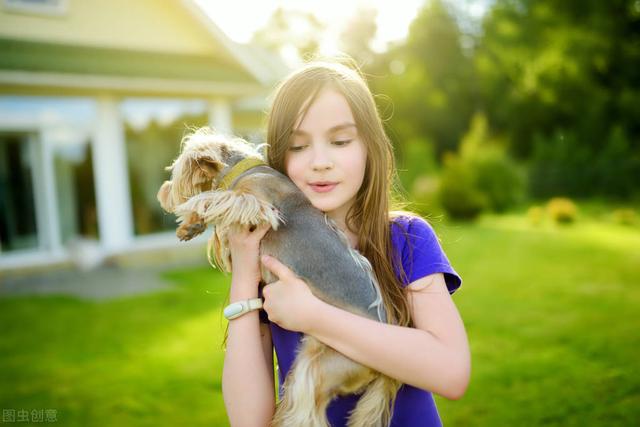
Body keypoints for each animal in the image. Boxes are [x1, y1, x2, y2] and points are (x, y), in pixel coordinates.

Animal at [158, 128, 398, 427]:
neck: (244, 170)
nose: (163, 192)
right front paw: (191, 226)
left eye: (177, 174)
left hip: (327, 364)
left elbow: (220, 197)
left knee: (309, 408)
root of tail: (386, 373)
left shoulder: (257, 205)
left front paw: (194, 211)